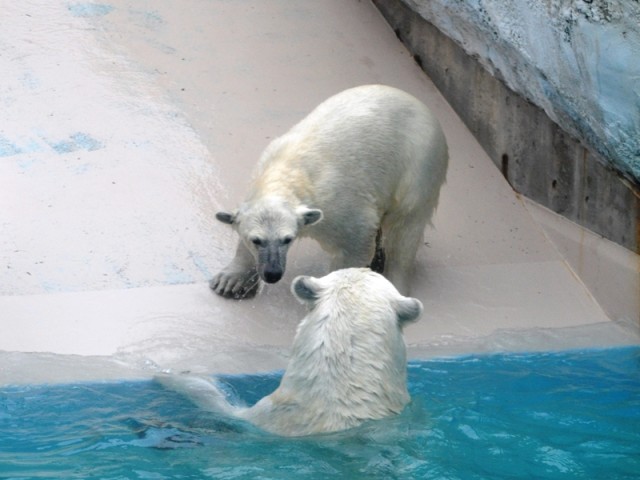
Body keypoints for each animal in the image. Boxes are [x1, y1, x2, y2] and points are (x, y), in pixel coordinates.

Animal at [210, 84, 448, 299]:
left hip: (419, 165)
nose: (272, 273)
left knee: (405, 229)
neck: (288, 172)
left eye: (287, 239)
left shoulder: (338, 206)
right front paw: (231, 281)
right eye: (256, 240)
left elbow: (355, 244)